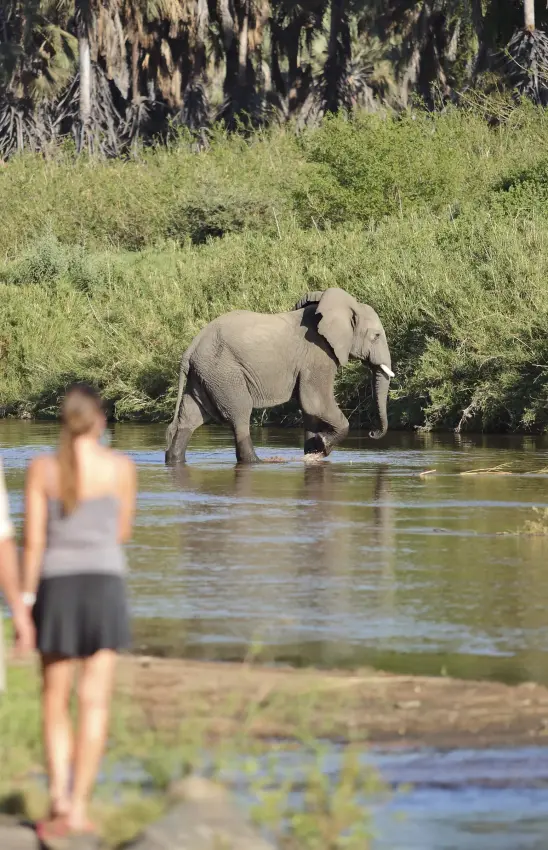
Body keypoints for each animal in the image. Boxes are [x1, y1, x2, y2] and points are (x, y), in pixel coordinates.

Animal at [165, 286, 394, 464]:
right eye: (376, 336)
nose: (372, 433)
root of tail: (191, 348)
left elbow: (309, 409)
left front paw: (313, 451)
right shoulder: (317, 355)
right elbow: (316, 403)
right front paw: (322, 445)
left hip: (204, 375)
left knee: (191, 417)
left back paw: (173, 459)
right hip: (223, 372)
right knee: (240, 415)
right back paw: (257, 462)